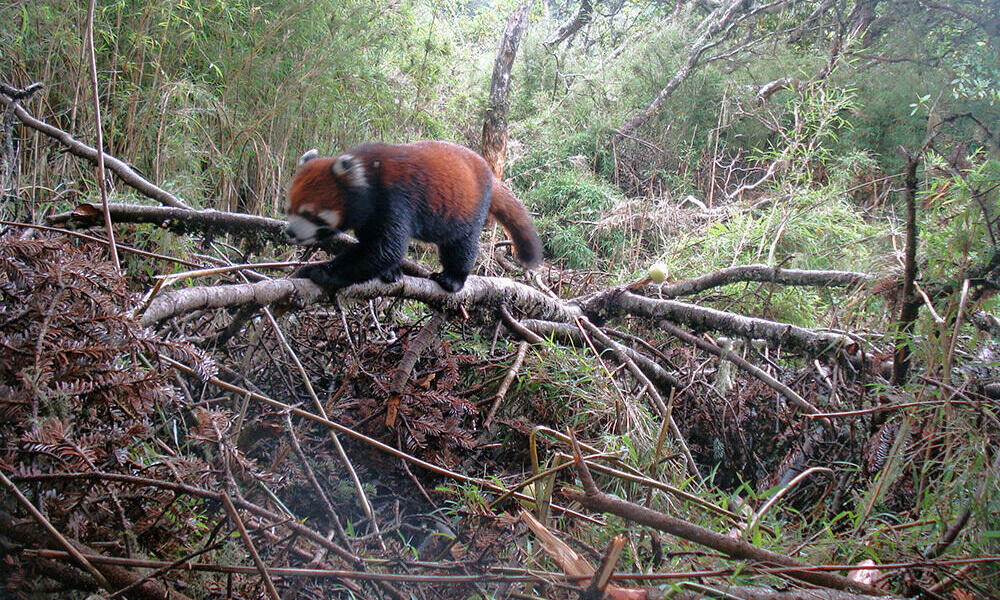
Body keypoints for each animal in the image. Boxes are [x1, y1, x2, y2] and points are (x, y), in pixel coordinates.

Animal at [286, 139, 544, 292]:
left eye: (310, 213)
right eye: (290, 209)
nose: (289, 231)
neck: (367, 177)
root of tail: (489, 173)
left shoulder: (395, 199)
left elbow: (385, 249)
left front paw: (325, 272)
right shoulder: (369, 217)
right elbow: (376, 248)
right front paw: (391, 272)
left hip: (469, 208)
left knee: (461, 245)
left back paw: (453, 278)